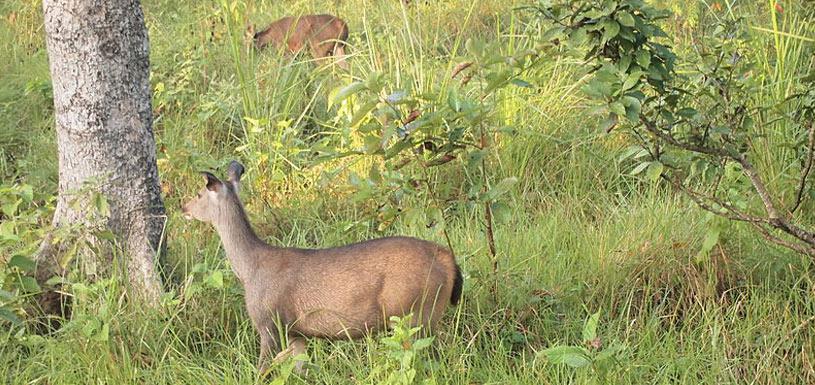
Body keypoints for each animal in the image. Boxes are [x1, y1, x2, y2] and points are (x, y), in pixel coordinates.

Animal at [184, 160, 462, 374]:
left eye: (198, 193)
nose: (182, 206)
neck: (249, 269)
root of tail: (448, 259)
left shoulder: (268, 322)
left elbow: (262, 371)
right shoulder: (297, 333)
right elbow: (300, 370)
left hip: (414, 313)